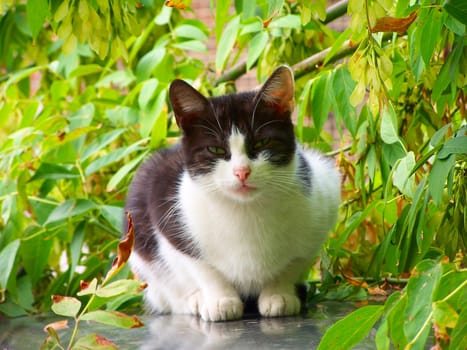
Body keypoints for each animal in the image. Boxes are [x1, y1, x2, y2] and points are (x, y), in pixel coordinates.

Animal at [125, 65, 340, 322]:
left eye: (262, 143)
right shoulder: (165, 213)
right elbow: (202, 267)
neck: (246, 211)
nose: (242, 172)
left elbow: (293, 263)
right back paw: (193, 300)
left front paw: (279, 294)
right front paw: (220, 300)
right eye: (216, 149)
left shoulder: (322, 203)